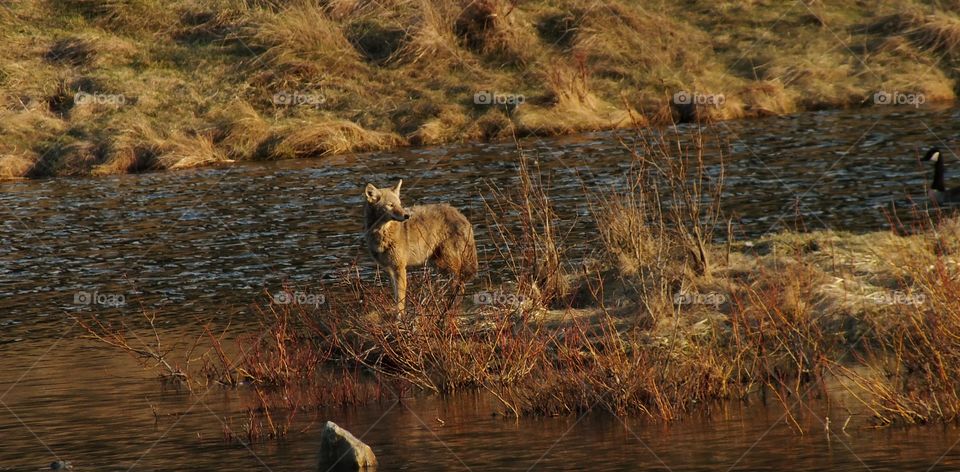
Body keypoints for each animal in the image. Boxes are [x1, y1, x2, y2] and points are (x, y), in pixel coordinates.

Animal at [362, 180, 478, 314]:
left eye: (399, 204)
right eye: (390, 205)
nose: (406, 216)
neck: (382, 233)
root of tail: (461, 215)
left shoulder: (400, 268)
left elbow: (400, 299)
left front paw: (400, 316)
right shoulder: (390, 269)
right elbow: (396, 297)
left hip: (448, 263)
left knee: (459, 284)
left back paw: (450, 308)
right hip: (439, 264)